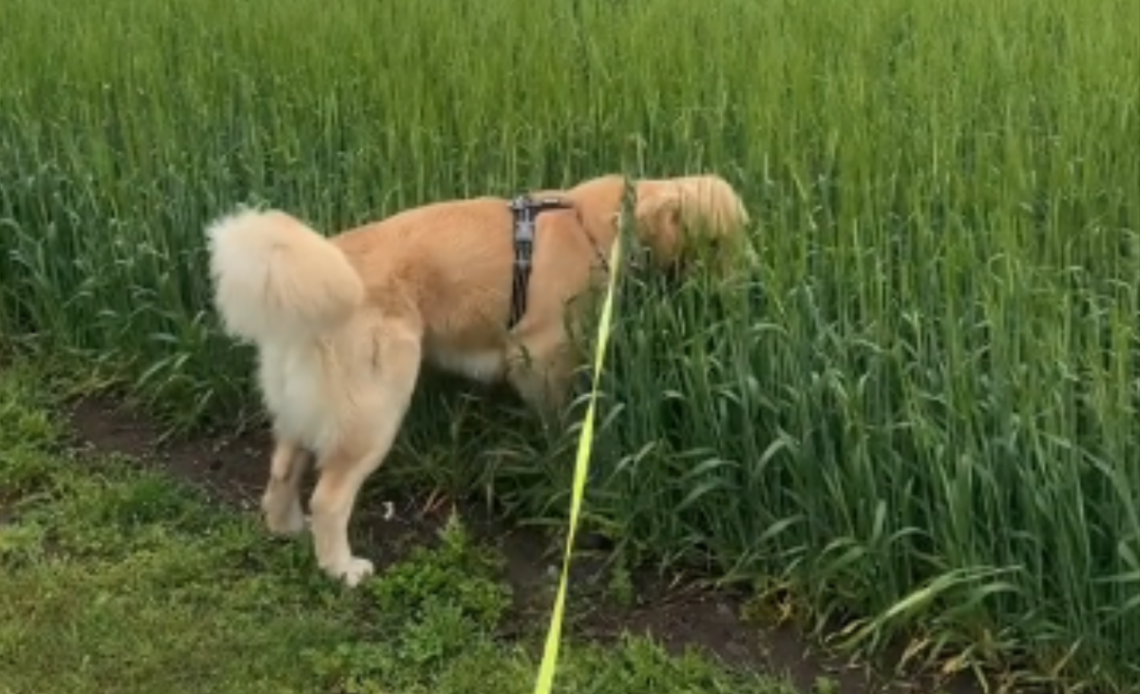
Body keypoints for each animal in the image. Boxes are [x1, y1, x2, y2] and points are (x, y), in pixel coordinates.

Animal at [205, 173, 752, 583]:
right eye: (715, 243)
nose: (741, 298)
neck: (600, 225)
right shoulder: (540, 356)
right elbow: (558, 421)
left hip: (304, 405)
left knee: (282, 469)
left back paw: (286, 527)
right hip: (377, 409)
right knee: (330, 497)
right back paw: (342, 569)